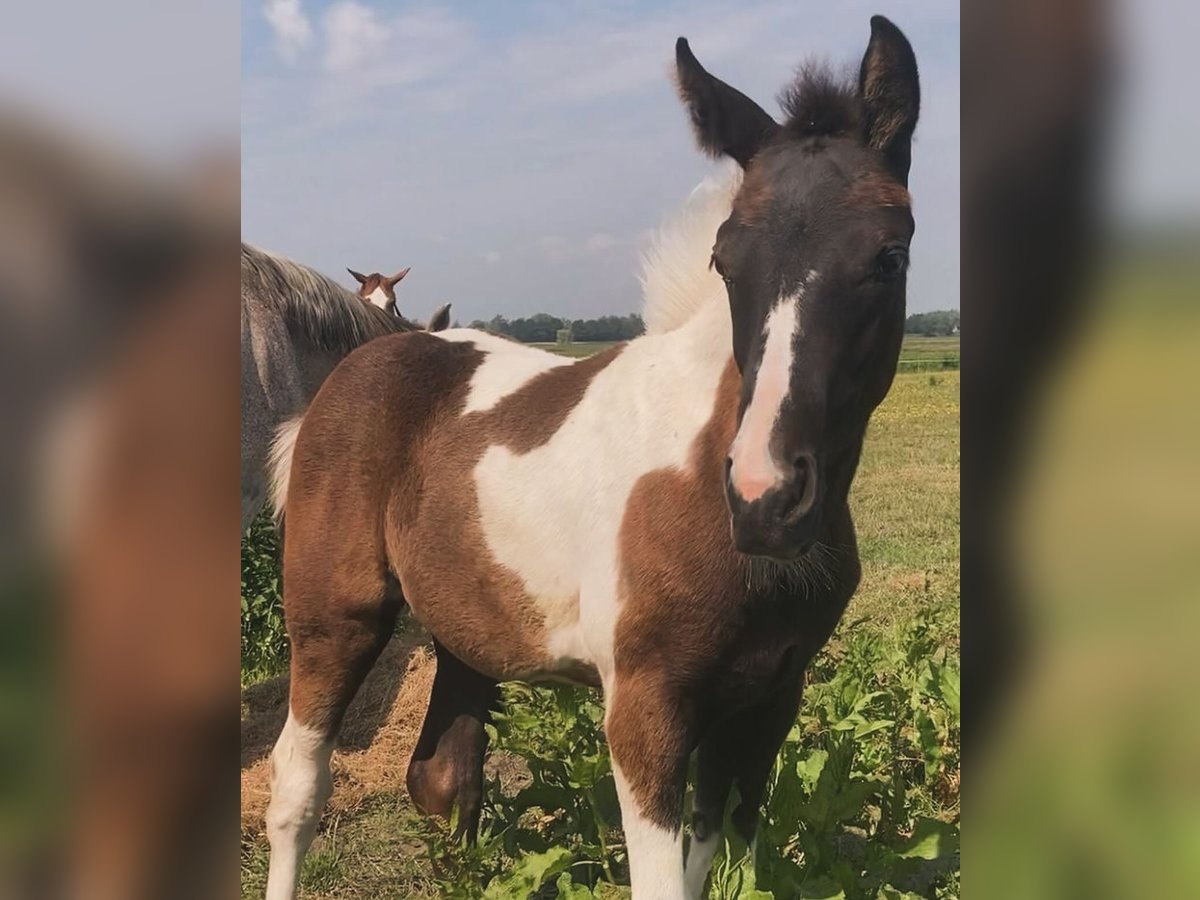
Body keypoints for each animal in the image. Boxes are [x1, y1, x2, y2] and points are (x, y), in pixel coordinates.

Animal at [270, 17, 916, 897]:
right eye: (726, 260)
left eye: (891, 255)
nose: (765, 495)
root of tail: (358, 365)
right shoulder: (646, 705)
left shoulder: (766, 702)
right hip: (333, 614)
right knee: (296, 788)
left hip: (463, 625)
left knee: (443, 777)